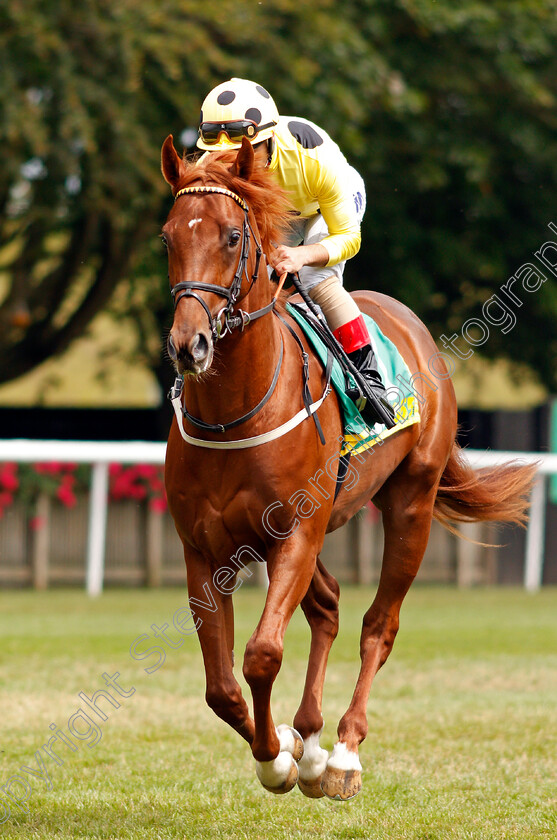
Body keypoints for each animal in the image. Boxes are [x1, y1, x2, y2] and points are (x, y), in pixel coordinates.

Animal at [161, 133, 536, 800]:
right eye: (168, 236)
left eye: (231, 236)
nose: (190, 345)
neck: (236, 414)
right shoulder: (205, 546)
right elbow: (221, 686)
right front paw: (288, 747)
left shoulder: (295, 533)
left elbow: (261, 653)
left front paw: (281, 758)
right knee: (329, 605)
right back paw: (311, 740)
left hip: (410, 503)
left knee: (378, 625)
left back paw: (340, 753)